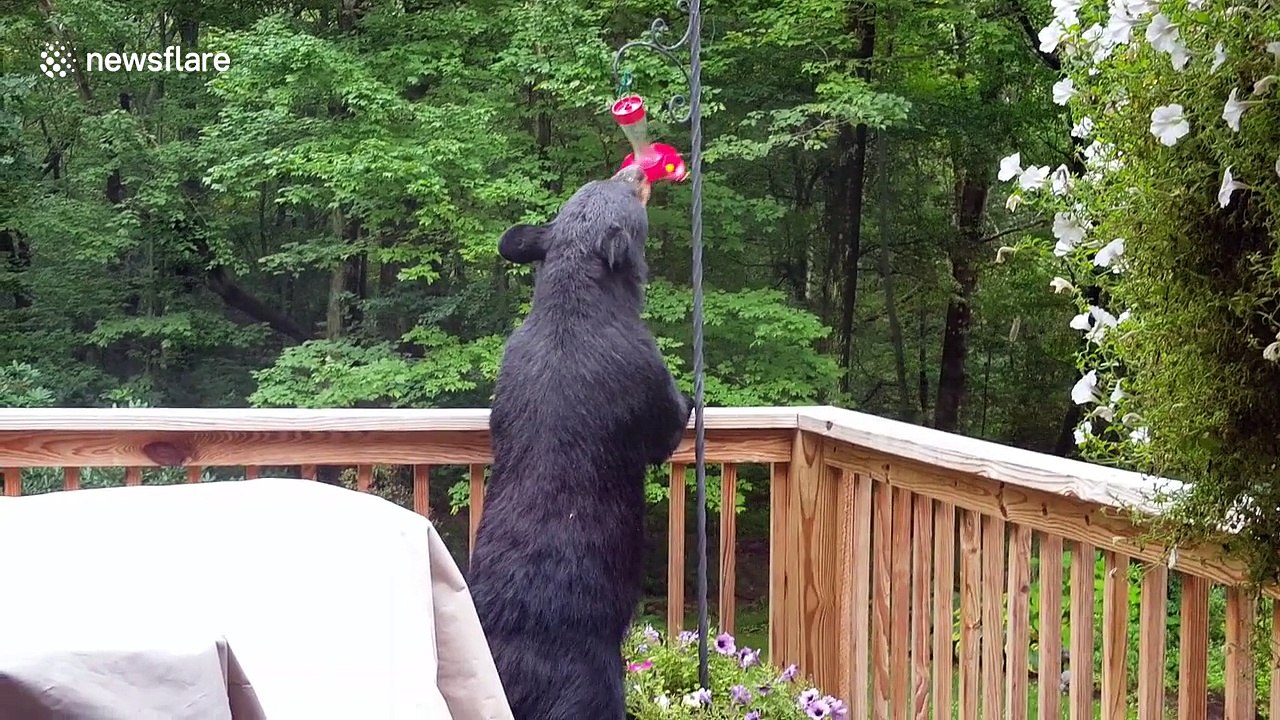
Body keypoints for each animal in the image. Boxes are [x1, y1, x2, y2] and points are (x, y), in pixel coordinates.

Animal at [467, 164, 693, 720]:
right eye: (623, 189)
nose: (633, 167)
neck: (573, 306)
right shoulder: (645, 375)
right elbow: (668, 425)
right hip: (590, 688)